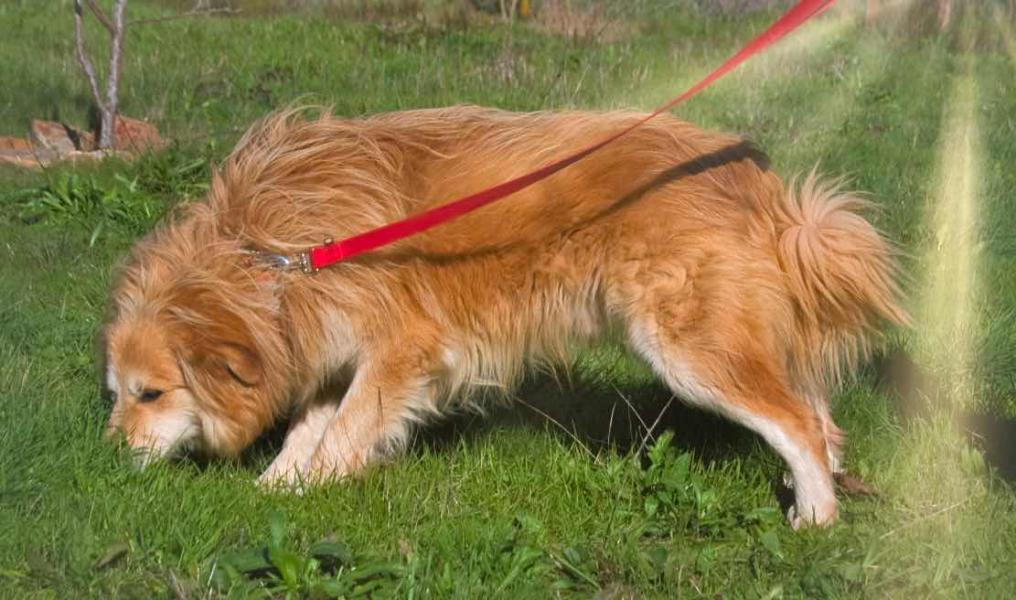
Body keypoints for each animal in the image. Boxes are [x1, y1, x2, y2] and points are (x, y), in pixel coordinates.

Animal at [103, 106, 907, 527]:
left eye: (153, 393)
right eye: (116, 395)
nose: (107, 457)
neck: (270, 256)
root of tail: (759, 186)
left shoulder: (404, 348)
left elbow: (348, 426)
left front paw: (318, 488)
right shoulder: (333, 339)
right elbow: (311, 421)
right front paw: (278, 486)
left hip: (689, 351)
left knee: (796, 419)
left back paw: (816, 516)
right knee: (811, 409)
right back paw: (828, 483)